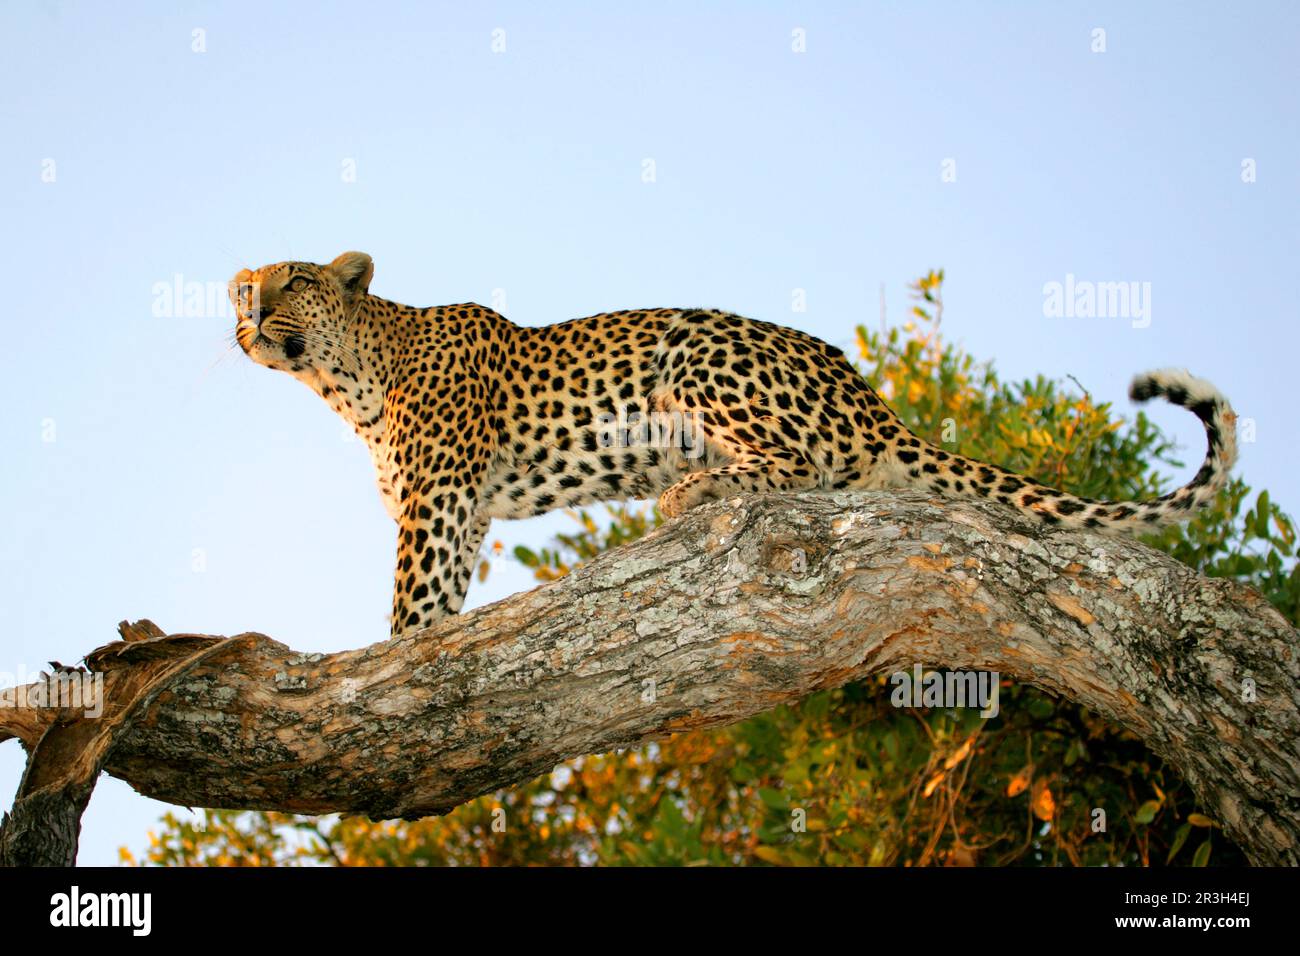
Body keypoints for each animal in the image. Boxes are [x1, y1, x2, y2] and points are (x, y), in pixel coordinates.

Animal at [231, 251, 1237, 639]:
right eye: (246, 287)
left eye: (297, 279)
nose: (249, 315)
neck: (347, 379)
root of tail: (871, 399)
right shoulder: (464, 509)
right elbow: (440, 601)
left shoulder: (438, 498)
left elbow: (411, 601)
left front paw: (393, 659)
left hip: (696, 354)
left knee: (798, 469)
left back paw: (694, 493)